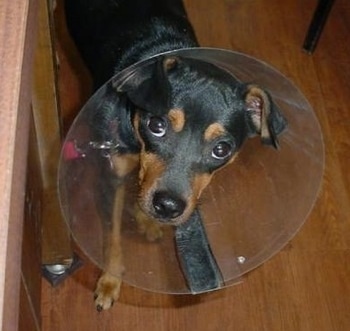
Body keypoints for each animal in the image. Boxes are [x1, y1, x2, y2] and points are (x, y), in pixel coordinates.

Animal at [64, 0, 286, 312]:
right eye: (156, 125)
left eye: (221, 149)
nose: (168, 206)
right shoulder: (110, 179)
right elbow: (113, 237)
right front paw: (109, 282)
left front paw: (147, 220)